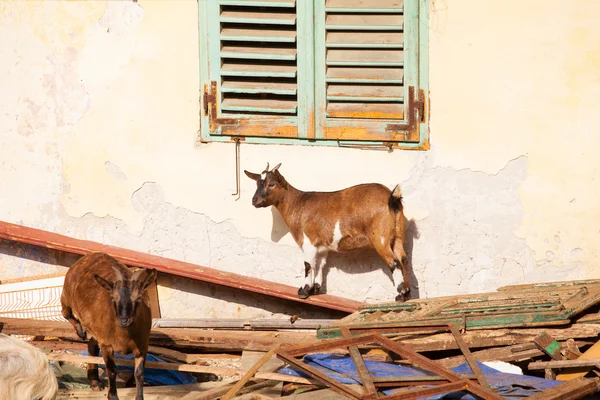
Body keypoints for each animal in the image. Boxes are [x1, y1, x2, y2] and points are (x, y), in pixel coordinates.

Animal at [61, 253, 157, 400]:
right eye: (113, 298)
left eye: (138, 299)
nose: (124, 320)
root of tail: (88, 256)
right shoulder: (107, 344)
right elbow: (111, 371)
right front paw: (112, 396)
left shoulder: (142, 346)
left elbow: (139, 374)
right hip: (66, 295)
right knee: (65, 312)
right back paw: (80, 331)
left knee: (92, 344)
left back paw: (94, 381)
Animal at [246, 162, 410, 300]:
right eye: (257, 183)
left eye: (271, 184)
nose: (254, 200)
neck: (299, 204)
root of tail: (392, 198)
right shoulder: (322, 245)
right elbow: (320, 264)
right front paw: (315, 289)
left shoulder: (308, 241)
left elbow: (308, 265)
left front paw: (304, 291)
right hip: (398, 236)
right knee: (403, 259)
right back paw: (407, 293)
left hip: (380, 238)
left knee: (394, 262)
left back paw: (400, 296)